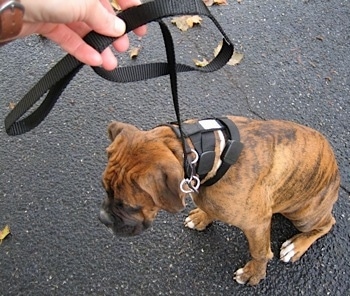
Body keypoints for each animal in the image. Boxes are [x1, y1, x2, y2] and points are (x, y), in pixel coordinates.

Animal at [98, 115, 340, 284]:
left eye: (129, 206)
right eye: (104, 189)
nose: (102, 219)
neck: (205, 153)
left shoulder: (257, 224)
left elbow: (260, 253)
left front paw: (254, 274)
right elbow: (209, 207)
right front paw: (202, 217)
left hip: (304, 215)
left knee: (327, 223)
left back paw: (296, 245)